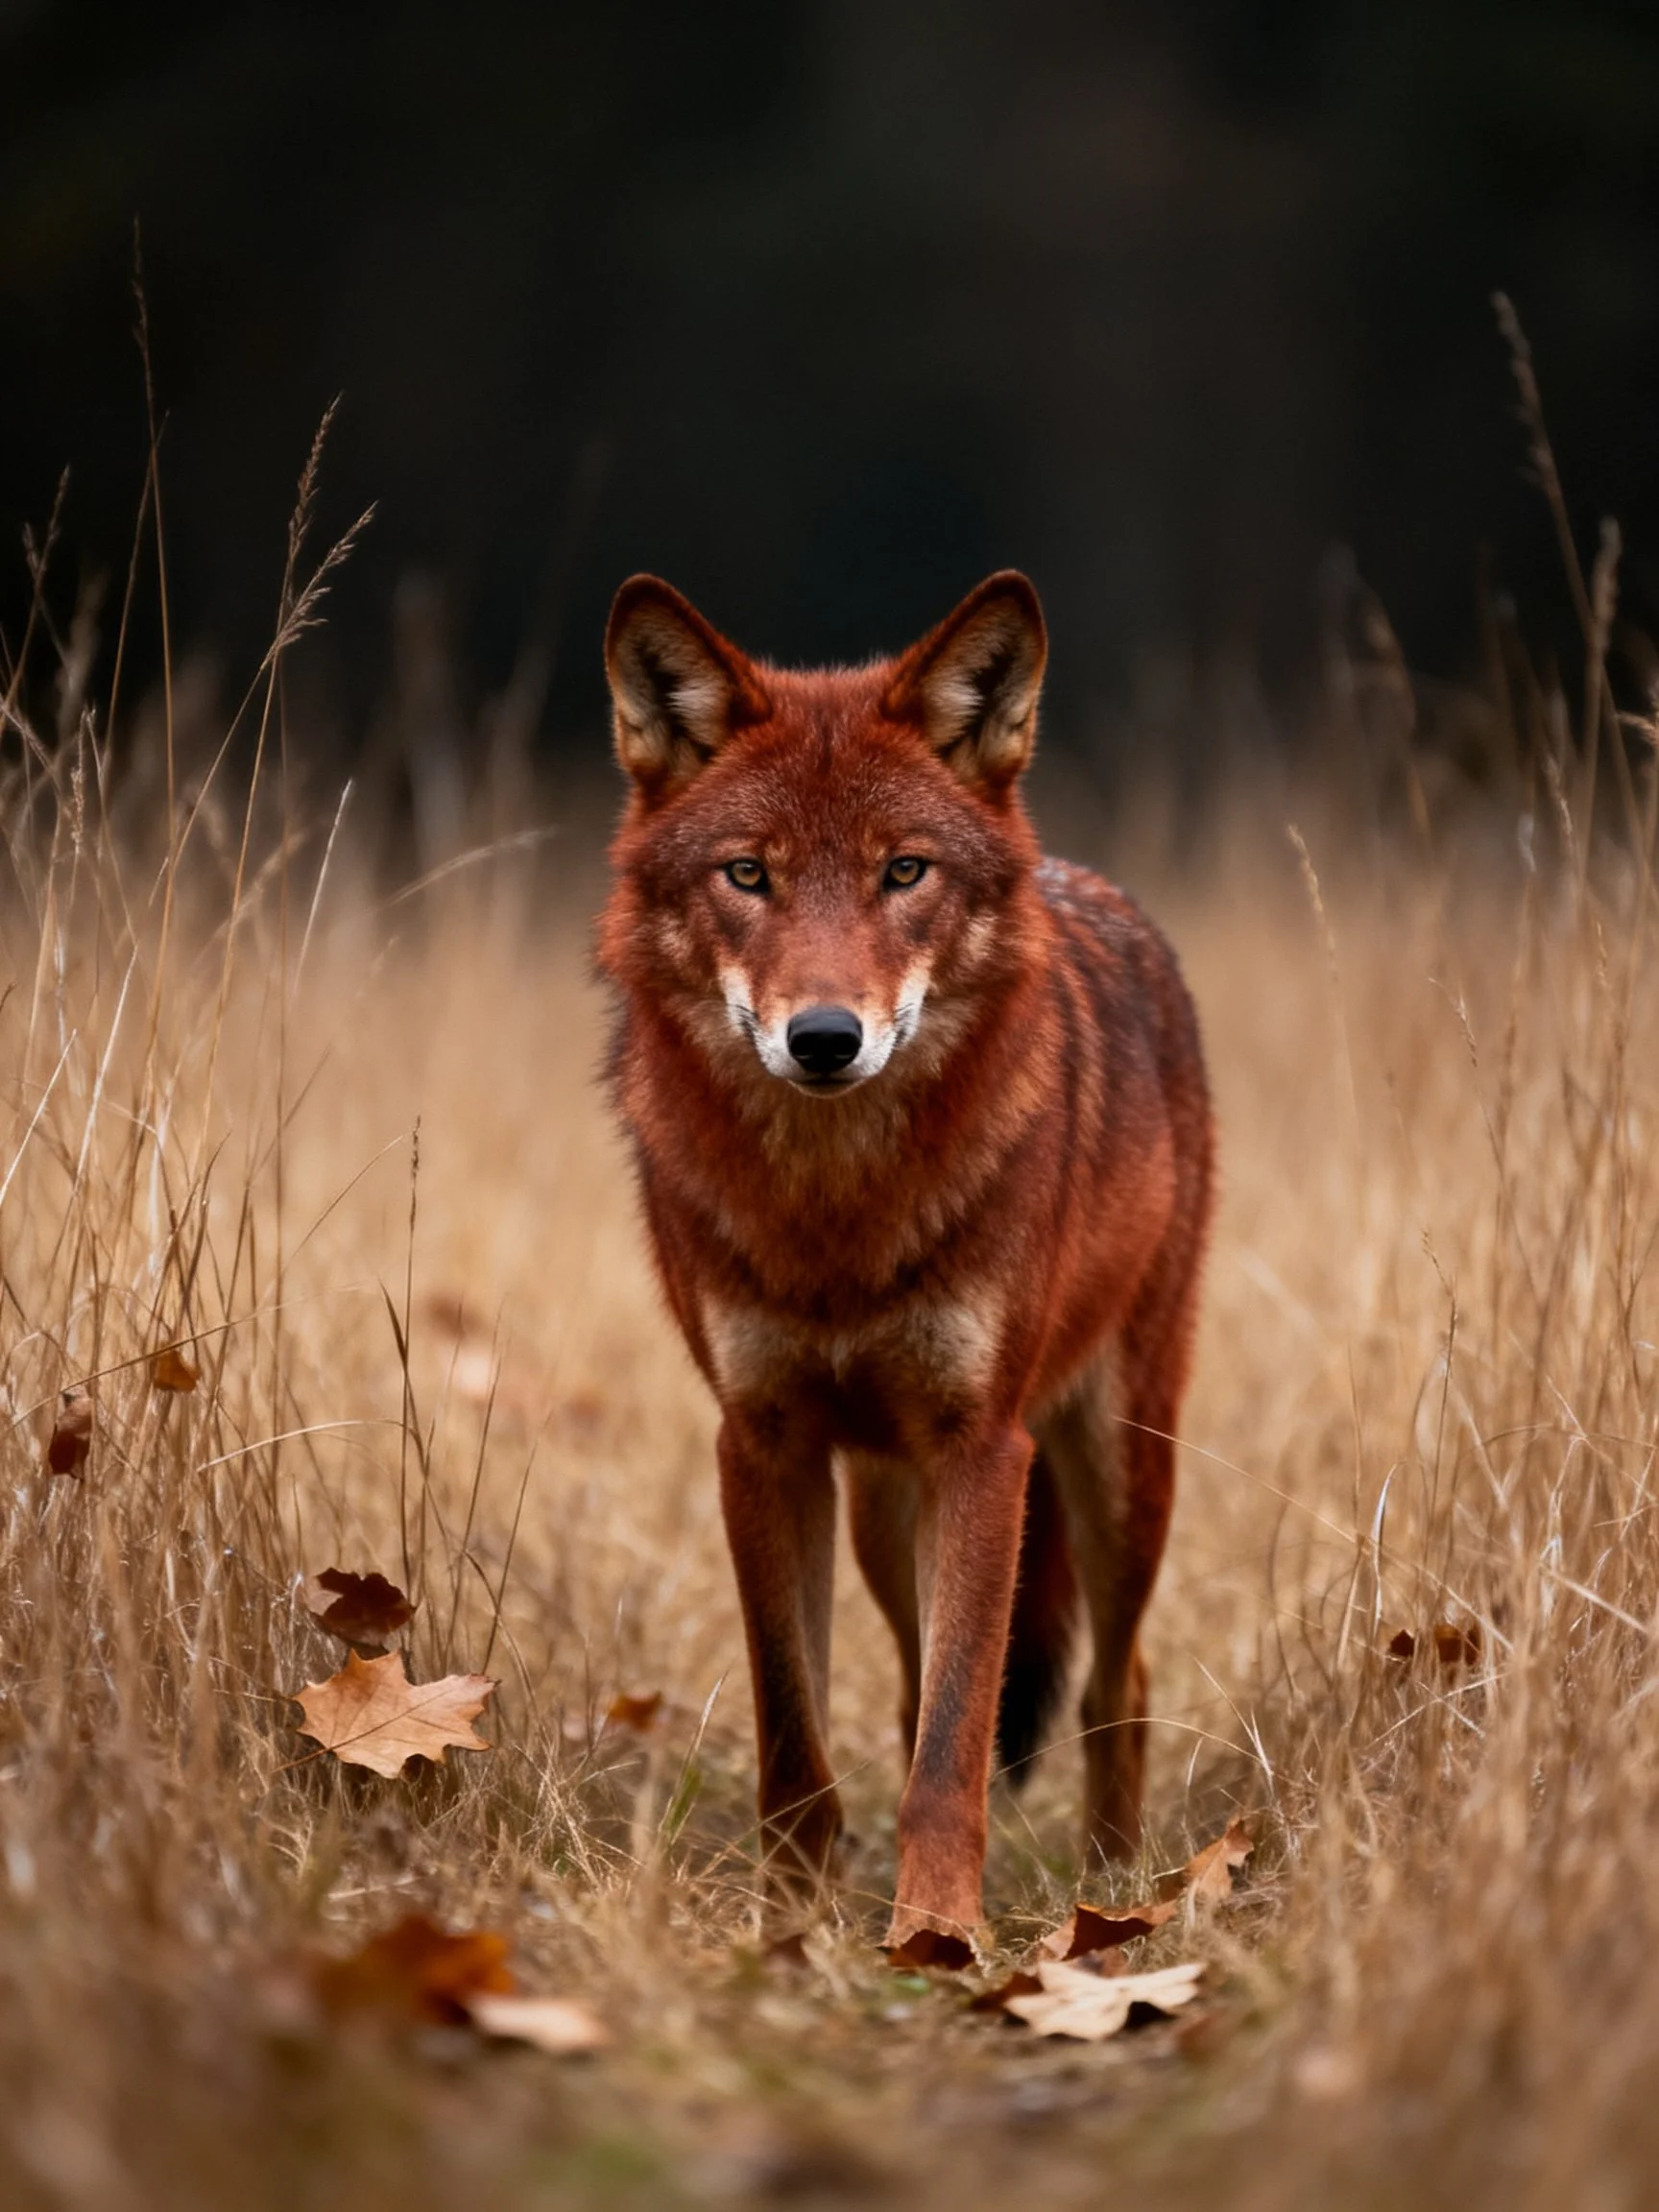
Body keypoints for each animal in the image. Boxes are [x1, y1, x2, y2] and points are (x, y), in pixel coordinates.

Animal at [597, 571, 1213, 1945]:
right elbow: (798, 1733)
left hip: (1115, 1468)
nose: (825, 1037)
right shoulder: (762, 1444)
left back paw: (1112, 1889)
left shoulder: (984, 1449)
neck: (839, 1215)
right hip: (887, 1513)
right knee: (912, 1681)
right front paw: (790, 1925)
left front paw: (935, 1937)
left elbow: (953, 1745)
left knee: (1118, 1679)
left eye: (903, 872)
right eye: (750, 874)